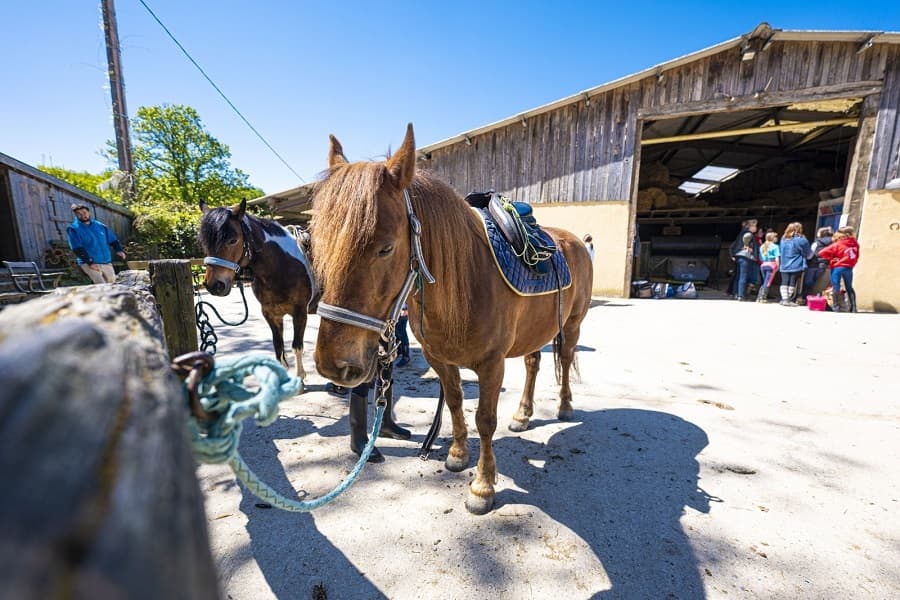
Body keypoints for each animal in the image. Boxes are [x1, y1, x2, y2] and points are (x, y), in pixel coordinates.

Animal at [198, 199, 316, 393]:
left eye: (233, 240)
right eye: (203, 242)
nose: (215, 285)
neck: (282, 266)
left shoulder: (300, 313)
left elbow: (296, 346)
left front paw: (300, 380)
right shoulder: (270, 314)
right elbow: (278, 346)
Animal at [310, 124, 594, 514]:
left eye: (385, 248)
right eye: (317, 243)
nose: (332, 363)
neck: (467, 282)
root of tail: (573, 241)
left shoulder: (491, 364)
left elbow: (485, 420)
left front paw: (483, 487)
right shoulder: (439, 359)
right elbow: (457, 402)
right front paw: (458, 455)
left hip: (573, 325)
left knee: (564, 361)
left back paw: (565, 406)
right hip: (535, 331)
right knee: (534, 364)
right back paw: (522, 415)